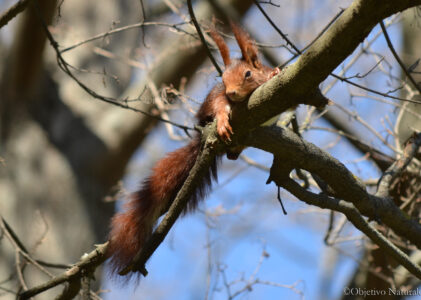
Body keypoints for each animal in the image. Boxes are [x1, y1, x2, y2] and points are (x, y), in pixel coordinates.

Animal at [108, 22, 278, 276]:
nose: (231, 92)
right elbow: (220, 105)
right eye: (223, 78)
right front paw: (223, 118)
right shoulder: (219, 96)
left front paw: (275, 73)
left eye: (248, 74)